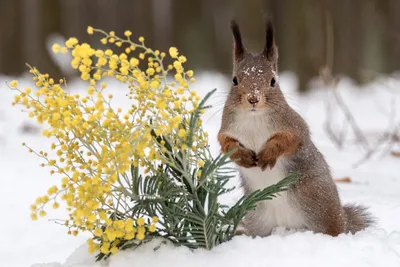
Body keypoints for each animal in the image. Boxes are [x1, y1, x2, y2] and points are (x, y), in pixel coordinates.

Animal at [217, 18, 374, 238]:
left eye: (273, 81)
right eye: (234, 80)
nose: (253, 99)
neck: (254, 118)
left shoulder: (294, 126)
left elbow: (289, 140)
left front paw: (268, 153)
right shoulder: (226, 129)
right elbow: (226, 144)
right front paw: (242, 156)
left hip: (316, 203)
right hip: (258, 217)